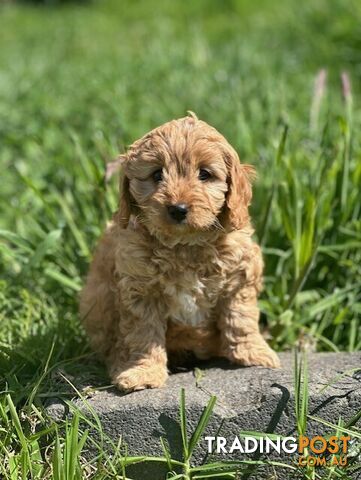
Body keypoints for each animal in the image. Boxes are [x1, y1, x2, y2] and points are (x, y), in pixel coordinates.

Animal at [80, 114, 280, 392]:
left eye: (204, 174)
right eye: (157, 174)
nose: (178, 209)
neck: (185, 245)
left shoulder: (239, 278)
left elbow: (241, 318)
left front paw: (254, 353)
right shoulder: (140, 290)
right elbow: (143, 335)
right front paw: (143, 372)